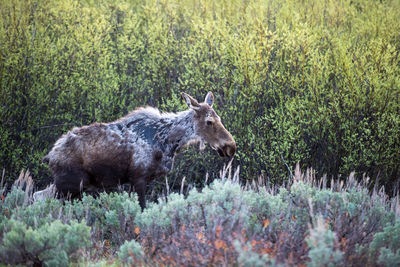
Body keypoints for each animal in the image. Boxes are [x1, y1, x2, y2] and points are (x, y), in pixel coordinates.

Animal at [38, 93, 234, 210]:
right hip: (70, 184)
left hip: (71, 186)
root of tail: (49, 156)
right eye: (209, 121)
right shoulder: (138, 177)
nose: (231, 146)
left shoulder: (134, 181)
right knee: (39, 196)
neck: (168, 142)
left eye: (219, 118)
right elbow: (142, 208)